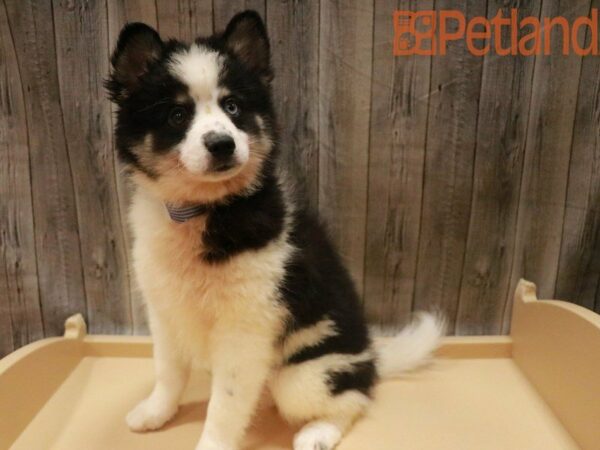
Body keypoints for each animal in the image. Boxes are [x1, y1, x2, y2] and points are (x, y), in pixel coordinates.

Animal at [108, 10, 446, 450]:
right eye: (177, 115)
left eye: (233, 107)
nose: (222, 144)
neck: (205, 209)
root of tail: (373, 358)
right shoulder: (165, 311)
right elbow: (168, 372)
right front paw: (155, 412)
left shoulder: (245, 331)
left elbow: (223, 407)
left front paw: (211, 443)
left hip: (304, 375)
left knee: (354, 399)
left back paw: (317, 433)